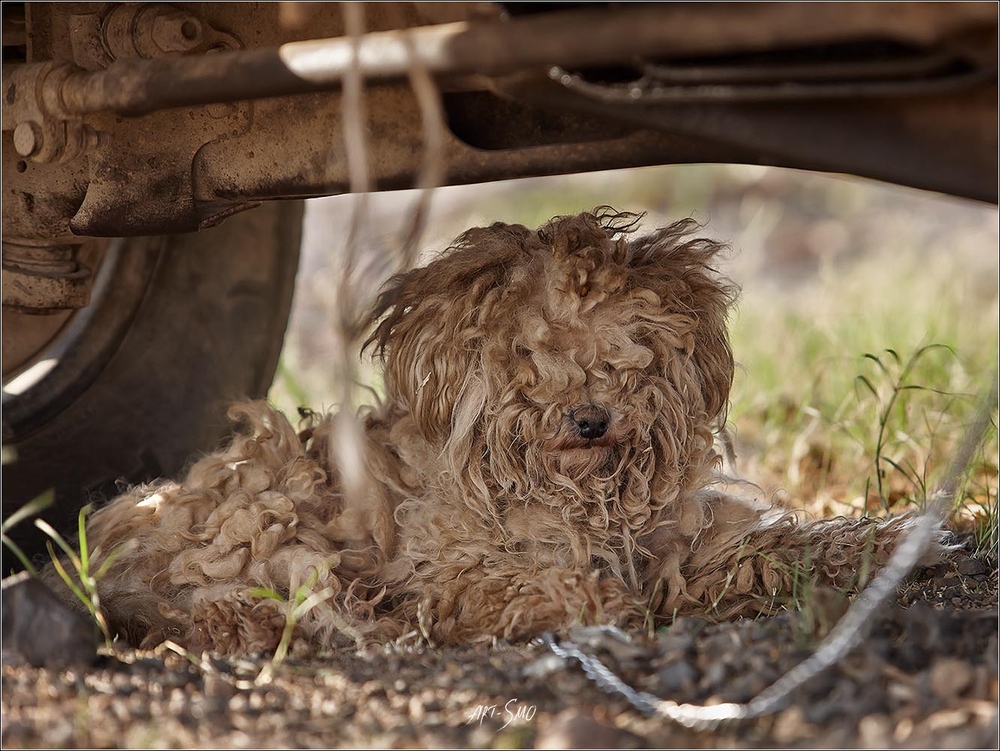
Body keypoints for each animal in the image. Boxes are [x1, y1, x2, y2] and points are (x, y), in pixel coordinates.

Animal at [68, 209, 936, 656]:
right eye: (529, 351)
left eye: (625, 344)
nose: (590, 418)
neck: (583, 500)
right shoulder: (456, 571)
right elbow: (562, 586)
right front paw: (608, 607)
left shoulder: (685, 540)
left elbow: (774, 544)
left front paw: (890, 541)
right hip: (273, 519)